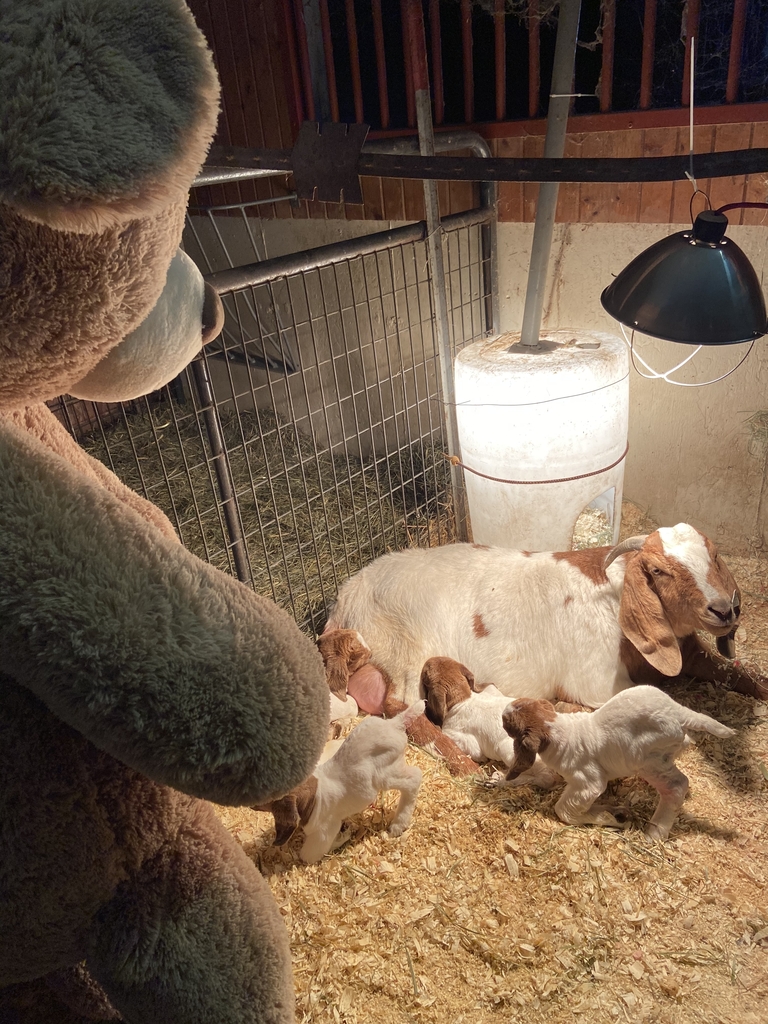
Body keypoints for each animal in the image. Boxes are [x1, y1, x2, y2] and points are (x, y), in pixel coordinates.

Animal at [260, 701, 424, 863]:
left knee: (414, 777)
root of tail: (395, 723)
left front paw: (344, 836)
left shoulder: (323, 833)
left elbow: (309, 855)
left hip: (387, 773)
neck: (314, 795)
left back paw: (398, 825)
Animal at [325, 524, 766, 710]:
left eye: (715, 555)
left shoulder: (688, 650)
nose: (724, 609)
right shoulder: (598, 682)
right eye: (658, 570)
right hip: (401, 651)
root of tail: (346, 595)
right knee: (400, 705)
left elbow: (738, 674)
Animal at [500, 686, 735, 840]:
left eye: (508, 723)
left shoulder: (588, 783)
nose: (505, 710)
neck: (561, 731)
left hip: (646, 761)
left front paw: (612, 817)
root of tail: (679, 713)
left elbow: (564, 809)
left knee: (677, 786)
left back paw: (655, 833)